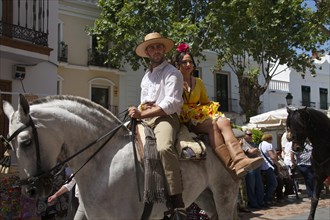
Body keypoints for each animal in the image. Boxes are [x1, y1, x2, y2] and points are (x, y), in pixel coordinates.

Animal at [2, 95, 240, 220]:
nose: (30, 190)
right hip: (206, 197)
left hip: (224, 195)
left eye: (25, 141)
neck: (105, 162)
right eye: (10, 145)